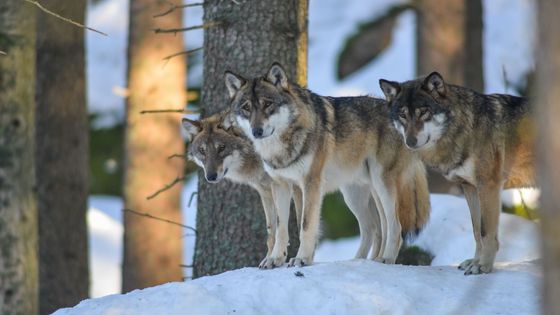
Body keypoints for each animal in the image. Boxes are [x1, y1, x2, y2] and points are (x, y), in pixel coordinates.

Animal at [184, 111, 384, 270]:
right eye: (202, 150)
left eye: (222, 148)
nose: (210, 176)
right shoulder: (266, 191)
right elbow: (272, 230)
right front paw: (271, 259)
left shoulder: (297, 187)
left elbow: (303, 222)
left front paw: (304, 258)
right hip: (353, 197)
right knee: (373, 228)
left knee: (382, 225)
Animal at [380, 73, 532, 276]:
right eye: (403, 115)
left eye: (423, 112)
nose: (410, 142)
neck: (465, 129)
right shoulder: (470, 188)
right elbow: (476, 230)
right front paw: (475, 262)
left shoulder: (489, 186)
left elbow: (486, 231)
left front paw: (483, 266)